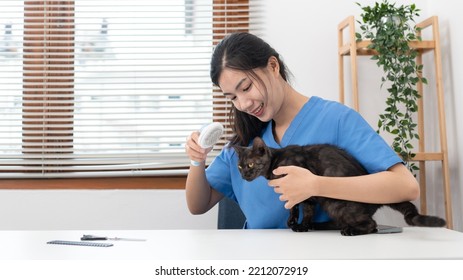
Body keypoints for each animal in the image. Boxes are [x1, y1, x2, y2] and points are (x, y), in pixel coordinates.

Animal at [234, 137, 448, 235]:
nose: (243, 175)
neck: (276, 162)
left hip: (335, 203)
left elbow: (301, 209)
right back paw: (322, 226)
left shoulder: (303, 190)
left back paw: (350, 230)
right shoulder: (305, 197)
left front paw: (300, 225)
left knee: (372, 226)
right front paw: (297, 223)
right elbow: (296, 209)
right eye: (239, 166)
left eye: (250, 165)